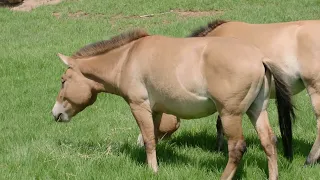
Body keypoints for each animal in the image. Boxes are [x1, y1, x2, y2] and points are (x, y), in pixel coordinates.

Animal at [51, 28, 294, 179]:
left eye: (63, 80)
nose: (55, 113)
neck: (127, 58)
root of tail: (259, 58)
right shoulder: (156, 111)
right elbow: (153, 138)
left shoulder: (139, 106)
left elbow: (149, 139)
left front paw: (153, 171)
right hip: (257, 110)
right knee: (269, 141)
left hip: (230, 115)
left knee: (237, 148)